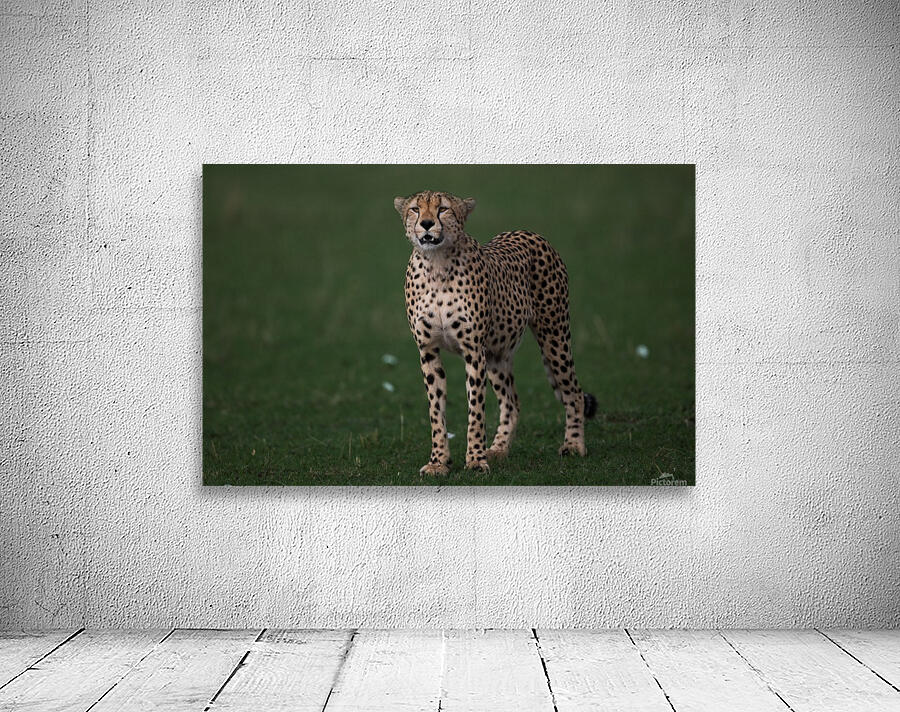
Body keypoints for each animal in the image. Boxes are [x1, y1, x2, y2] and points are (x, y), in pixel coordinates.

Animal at [395, 190, 597, 475]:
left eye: (443, 208)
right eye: (415, 209)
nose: (426, 223)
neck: (436, 264)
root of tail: (529, 232)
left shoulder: (473, 350)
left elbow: (476, 410)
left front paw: (475, 460)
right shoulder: (428, 351)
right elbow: (436, 410)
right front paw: (439, 462)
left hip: (554, 336)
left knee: (574, 393)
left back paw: (573, 445)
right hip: (497, 354)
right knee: (512, 402)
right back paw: (499, 449)